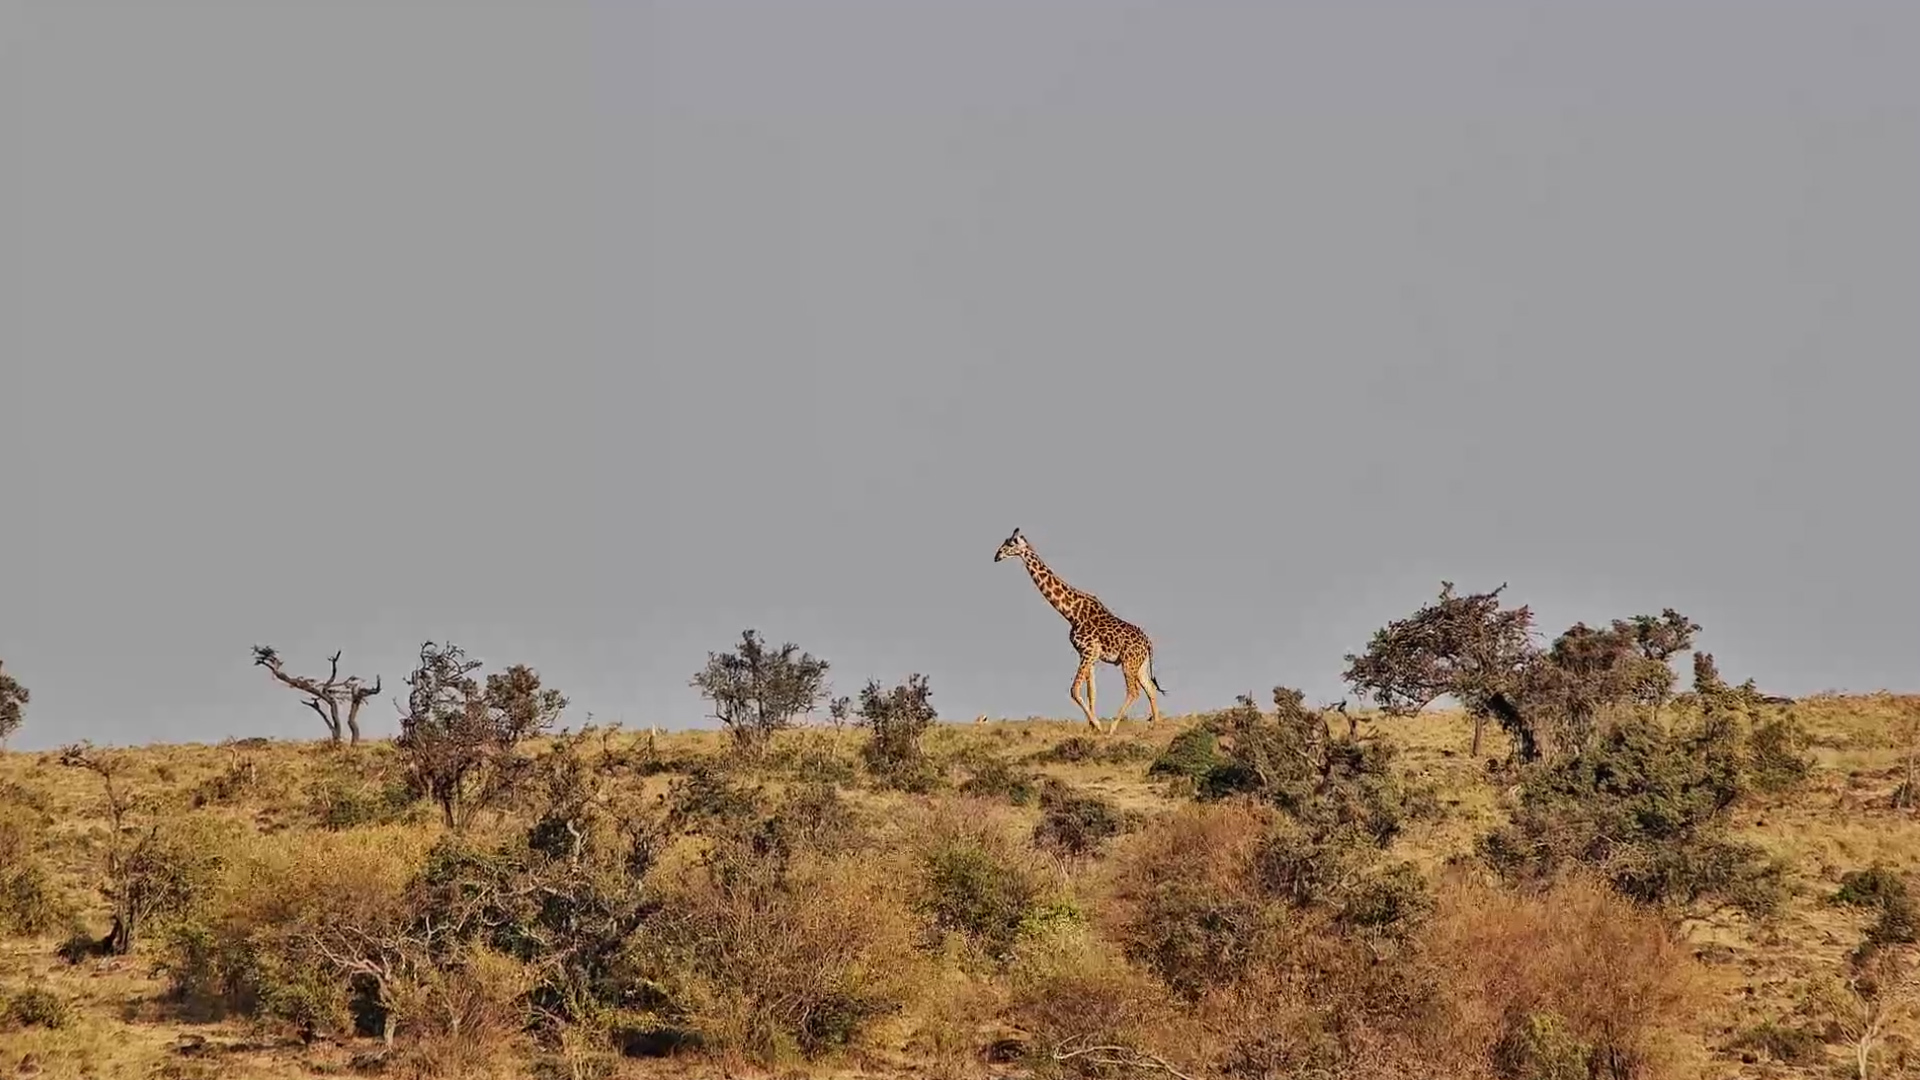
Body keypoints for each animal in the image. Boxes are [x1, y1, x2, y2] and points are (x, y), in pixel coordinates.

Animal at [993, 528, 1165, 734]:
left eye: (1010, 544)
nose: (996, 556)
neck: (1071, 612)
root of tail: (1148, 643)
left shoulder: (1089, 652)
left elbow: (1074, 690)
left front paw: (1097, 725)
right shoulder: (1088, 655)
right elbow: (1092, 692)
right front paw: (1091, 727)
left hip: (1128, 662)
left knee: (1134, 691)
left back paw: (1112, 728)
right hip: (1140, 664)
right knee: (1150, 689)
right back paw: (1155, 724)